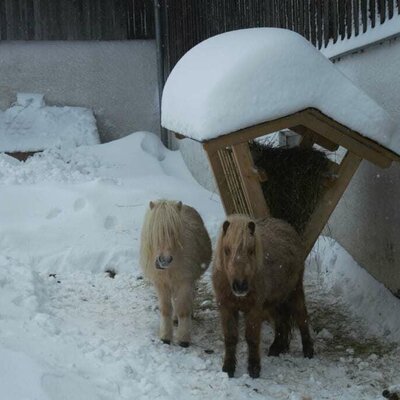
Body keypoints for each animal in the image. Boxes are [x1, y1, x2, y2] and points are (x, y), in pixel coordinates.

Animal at [140, 200, 211, 346]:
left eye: (174, 232)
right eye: (155, 232)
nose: (164, 260)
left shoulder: (184, 282)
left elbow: (183, 309)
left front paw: (183, 339)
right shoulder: (161, 284)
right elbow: (166, 309)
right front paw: (165, 336)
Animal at [214, 214, 314, 376]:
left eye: (251, 250)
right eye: (226, 250)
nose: (240, 285)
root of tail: (286, 226)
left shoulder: (254, 310)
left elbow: (252, 338)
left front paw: (254, 369)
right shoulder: (227, 308)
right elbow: (230, 338)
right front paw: (228, 368)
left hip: (295, 292)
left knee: (301, 318)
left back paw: (308, 350)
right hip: (273, 302)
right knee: (281, 321)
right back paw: (277, 347)